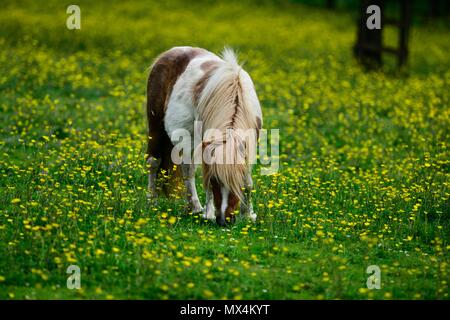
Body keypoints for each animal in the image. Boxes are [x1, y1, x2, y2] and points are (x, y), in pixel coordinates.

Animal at [146, 45, 262, 225]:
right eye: (214, 181)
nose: (223, 221)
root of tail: (169, 53)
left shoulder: (248, 145)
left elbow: (248, 182)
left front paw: (248, 215)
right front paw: (208, 214)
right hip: (157, 127)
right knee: (155, 162)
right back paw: (156, 201)